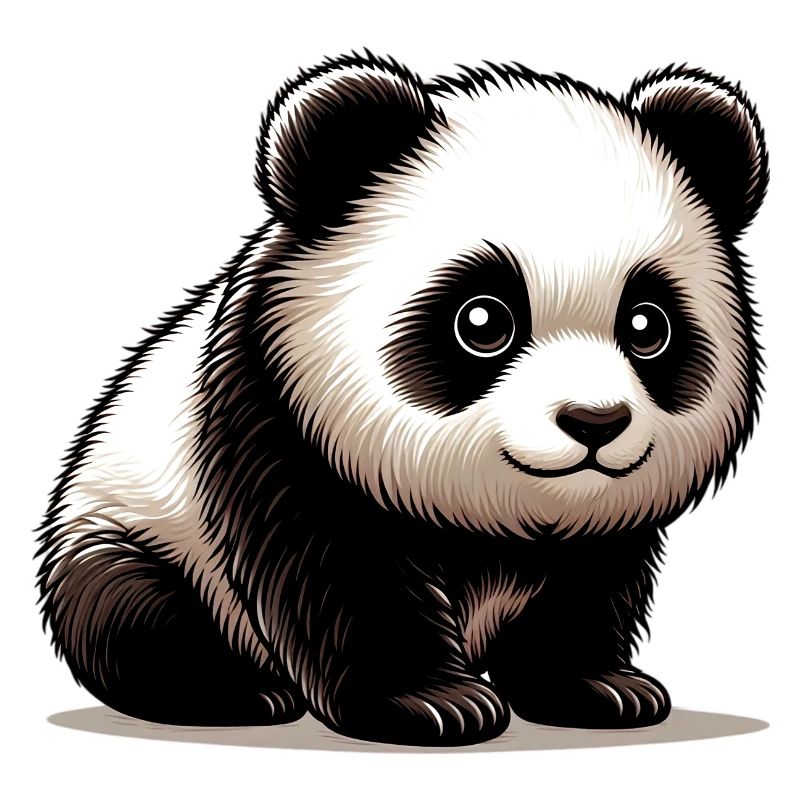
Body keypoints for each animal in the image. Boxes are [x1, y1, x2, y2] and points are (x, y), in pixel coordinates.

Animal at [37, 52, 768, 746]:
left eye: (647, 325)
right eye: (483, 320)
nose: (595, 422)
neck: (501, 517)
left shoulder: (600, 528)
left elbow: (588, 585)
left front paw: (599, 687)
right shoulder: (278, 421)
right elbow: (339, 575)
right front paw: (433, 702)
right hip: (134, 526)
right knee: (130, 609)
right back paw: (234, 691)